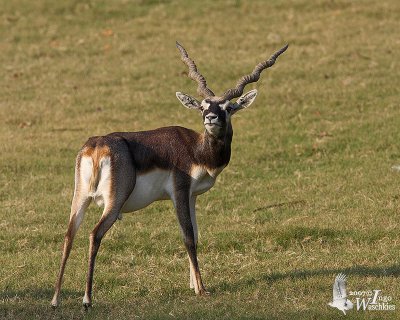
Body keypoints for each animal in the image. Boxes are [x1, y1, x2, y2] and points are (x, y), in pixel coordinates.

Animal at [51, 40, 288, 308]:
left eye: (228, 107)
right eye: (203, 106)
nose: (210, 117)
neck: (196, 149)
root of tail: (97, 146)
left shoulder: (192, 196)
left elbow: (196, 234)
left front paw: (194, 284)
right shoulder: (179, 191)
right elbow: (188, 237)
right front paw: (201, 289)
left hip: (80, 197)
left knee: (69, 235)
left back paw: (55, 299)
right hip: (114, 202)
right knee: (94, 234)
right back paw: (87, 299)